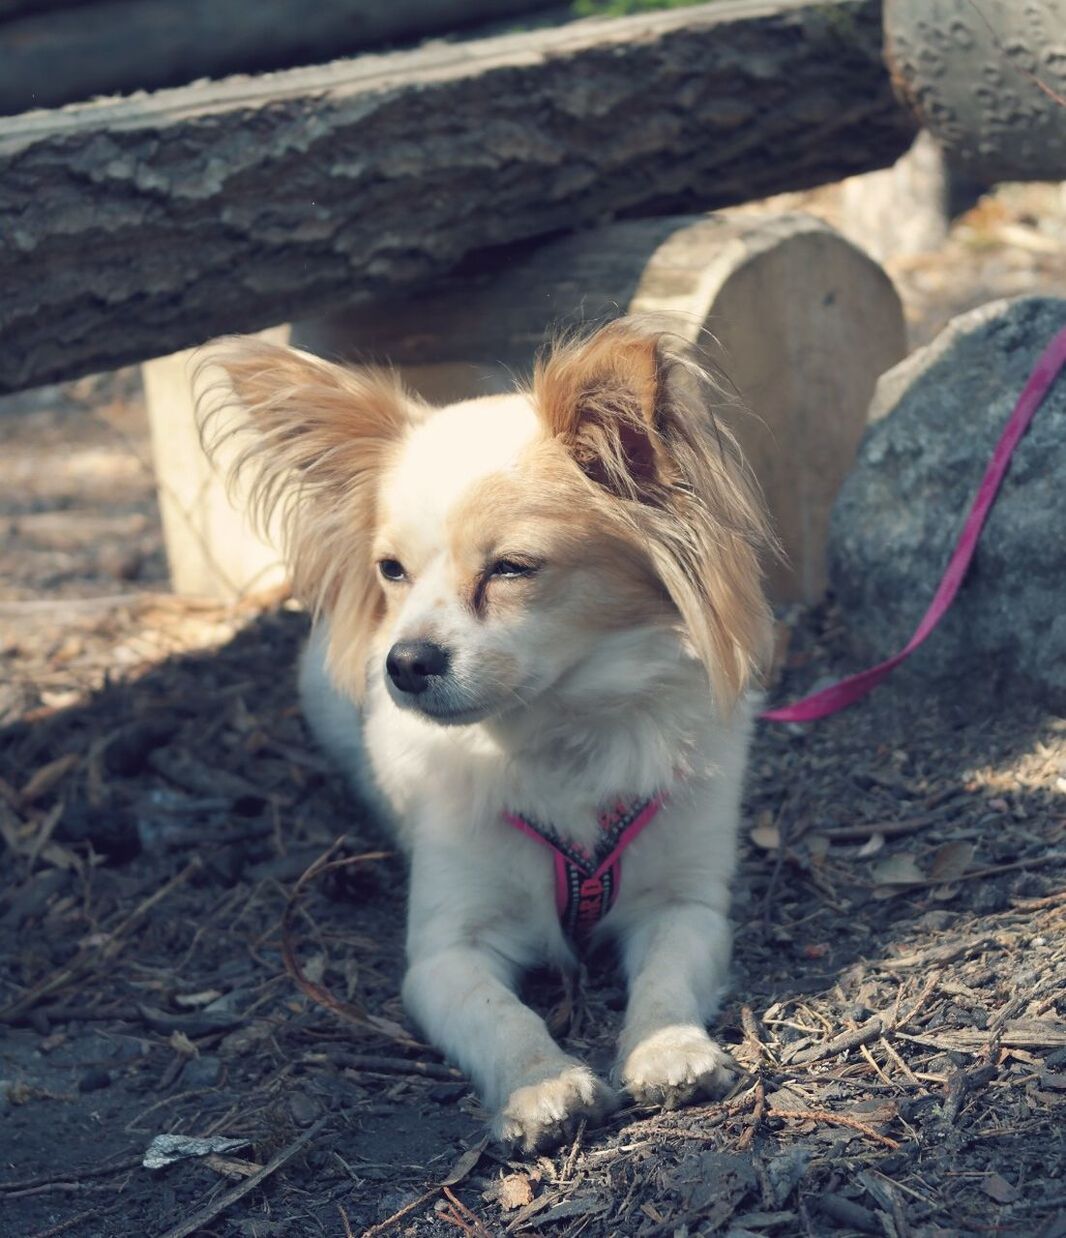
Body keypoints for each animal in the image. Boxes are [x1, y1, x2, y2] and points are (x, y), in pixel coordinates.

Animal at [198, 319, 772, 1148]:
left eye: (510, 569)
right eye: (390, 571)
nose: (405, 662)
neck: (557, 735)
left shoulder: (686, 905)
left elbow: (665, 975)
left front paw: (667, 1050)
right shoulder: (445, 955)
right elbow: (502, 1016)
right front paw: (545, 1085)